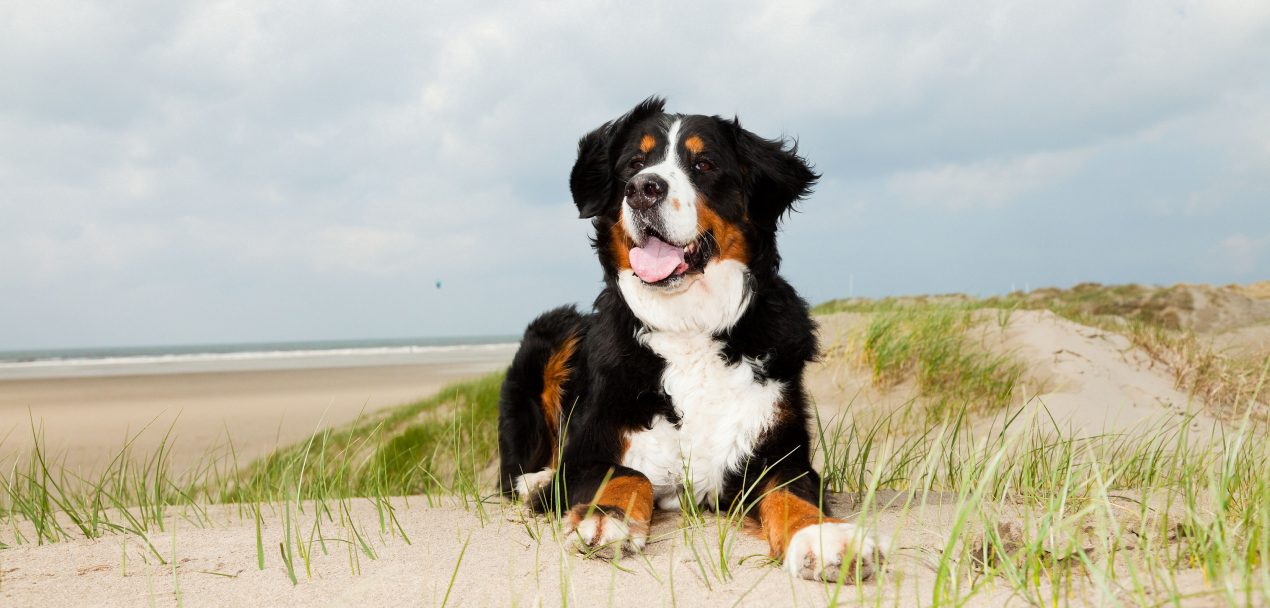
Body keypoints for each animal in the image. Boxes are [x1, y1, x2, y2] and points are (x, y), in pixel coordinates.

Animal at [495, 97, 883, 583]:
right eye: (634, 164)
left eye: (704, 164)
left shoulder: (777, 449)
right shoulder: (588, 451)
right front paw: (606, 518)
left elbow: (792, 491)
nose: (643, 189)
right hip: (555, 327)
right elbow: (627, 474)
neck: (687, 326)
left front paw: (823, 536)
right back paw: (534, 480)